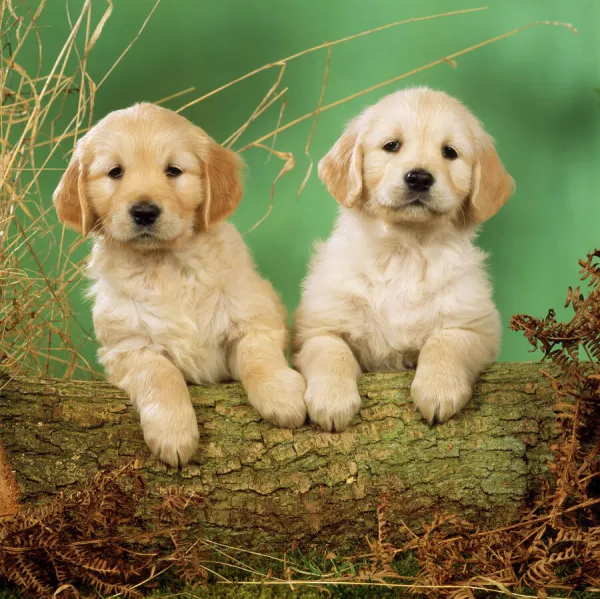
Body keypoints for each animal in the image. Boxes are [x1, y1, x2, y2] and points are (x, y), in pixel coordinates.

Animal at [53, 103, 308, 468]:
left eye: (173, 171)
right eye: (115, 172)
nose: (145, 211)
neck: (167, 264)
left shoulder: (255, 315)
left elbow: (257, 354)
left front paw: (282, 395)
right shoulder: (127, 347)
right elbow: (161, 374)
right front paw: (173, 433)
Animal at [292, 88, 512, 432]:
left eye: (449, 152)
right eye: (392, 145)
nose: (419, 178)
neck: (405, 251)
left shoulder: (477, 327)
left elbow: (446, 341)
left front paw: (438, 389)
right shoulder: (315, 328)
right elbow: (331, 350)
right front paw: (331, 399)